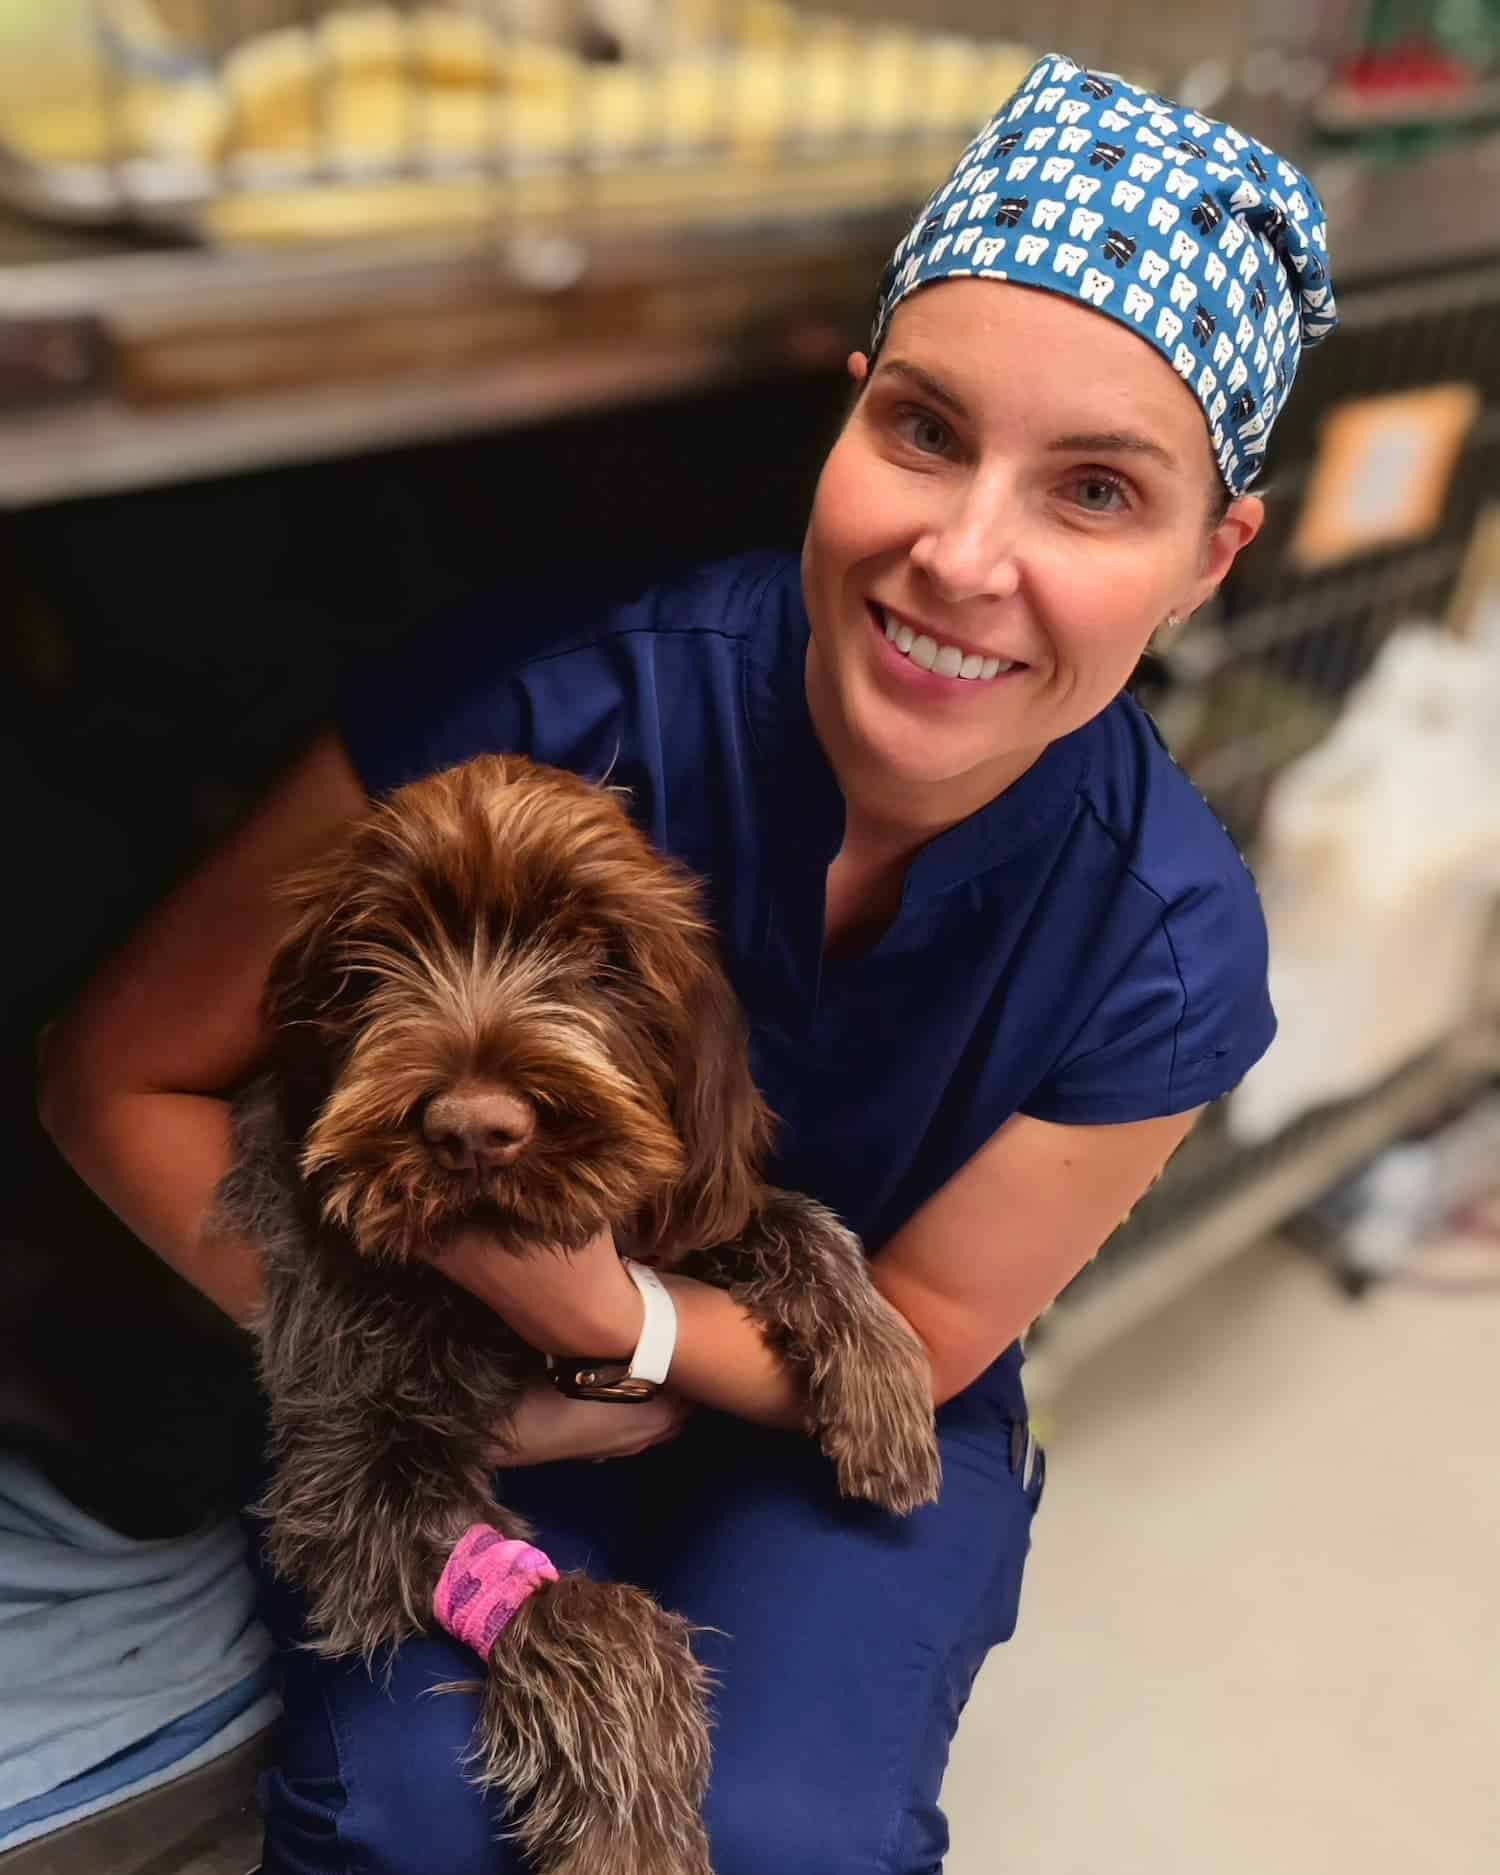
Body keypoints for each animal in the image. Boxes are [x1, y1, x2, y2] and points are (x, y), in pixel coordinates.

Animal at [213, 753, 937, 1875]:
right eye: (374, 960)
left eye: (603, 953)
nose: (475, 1130)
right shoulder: (348, 1471)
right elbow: (579, 1606)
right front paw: (635, 1833)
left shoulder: (661, 1204)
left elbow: (770, 1212)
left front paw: (880, 1373)